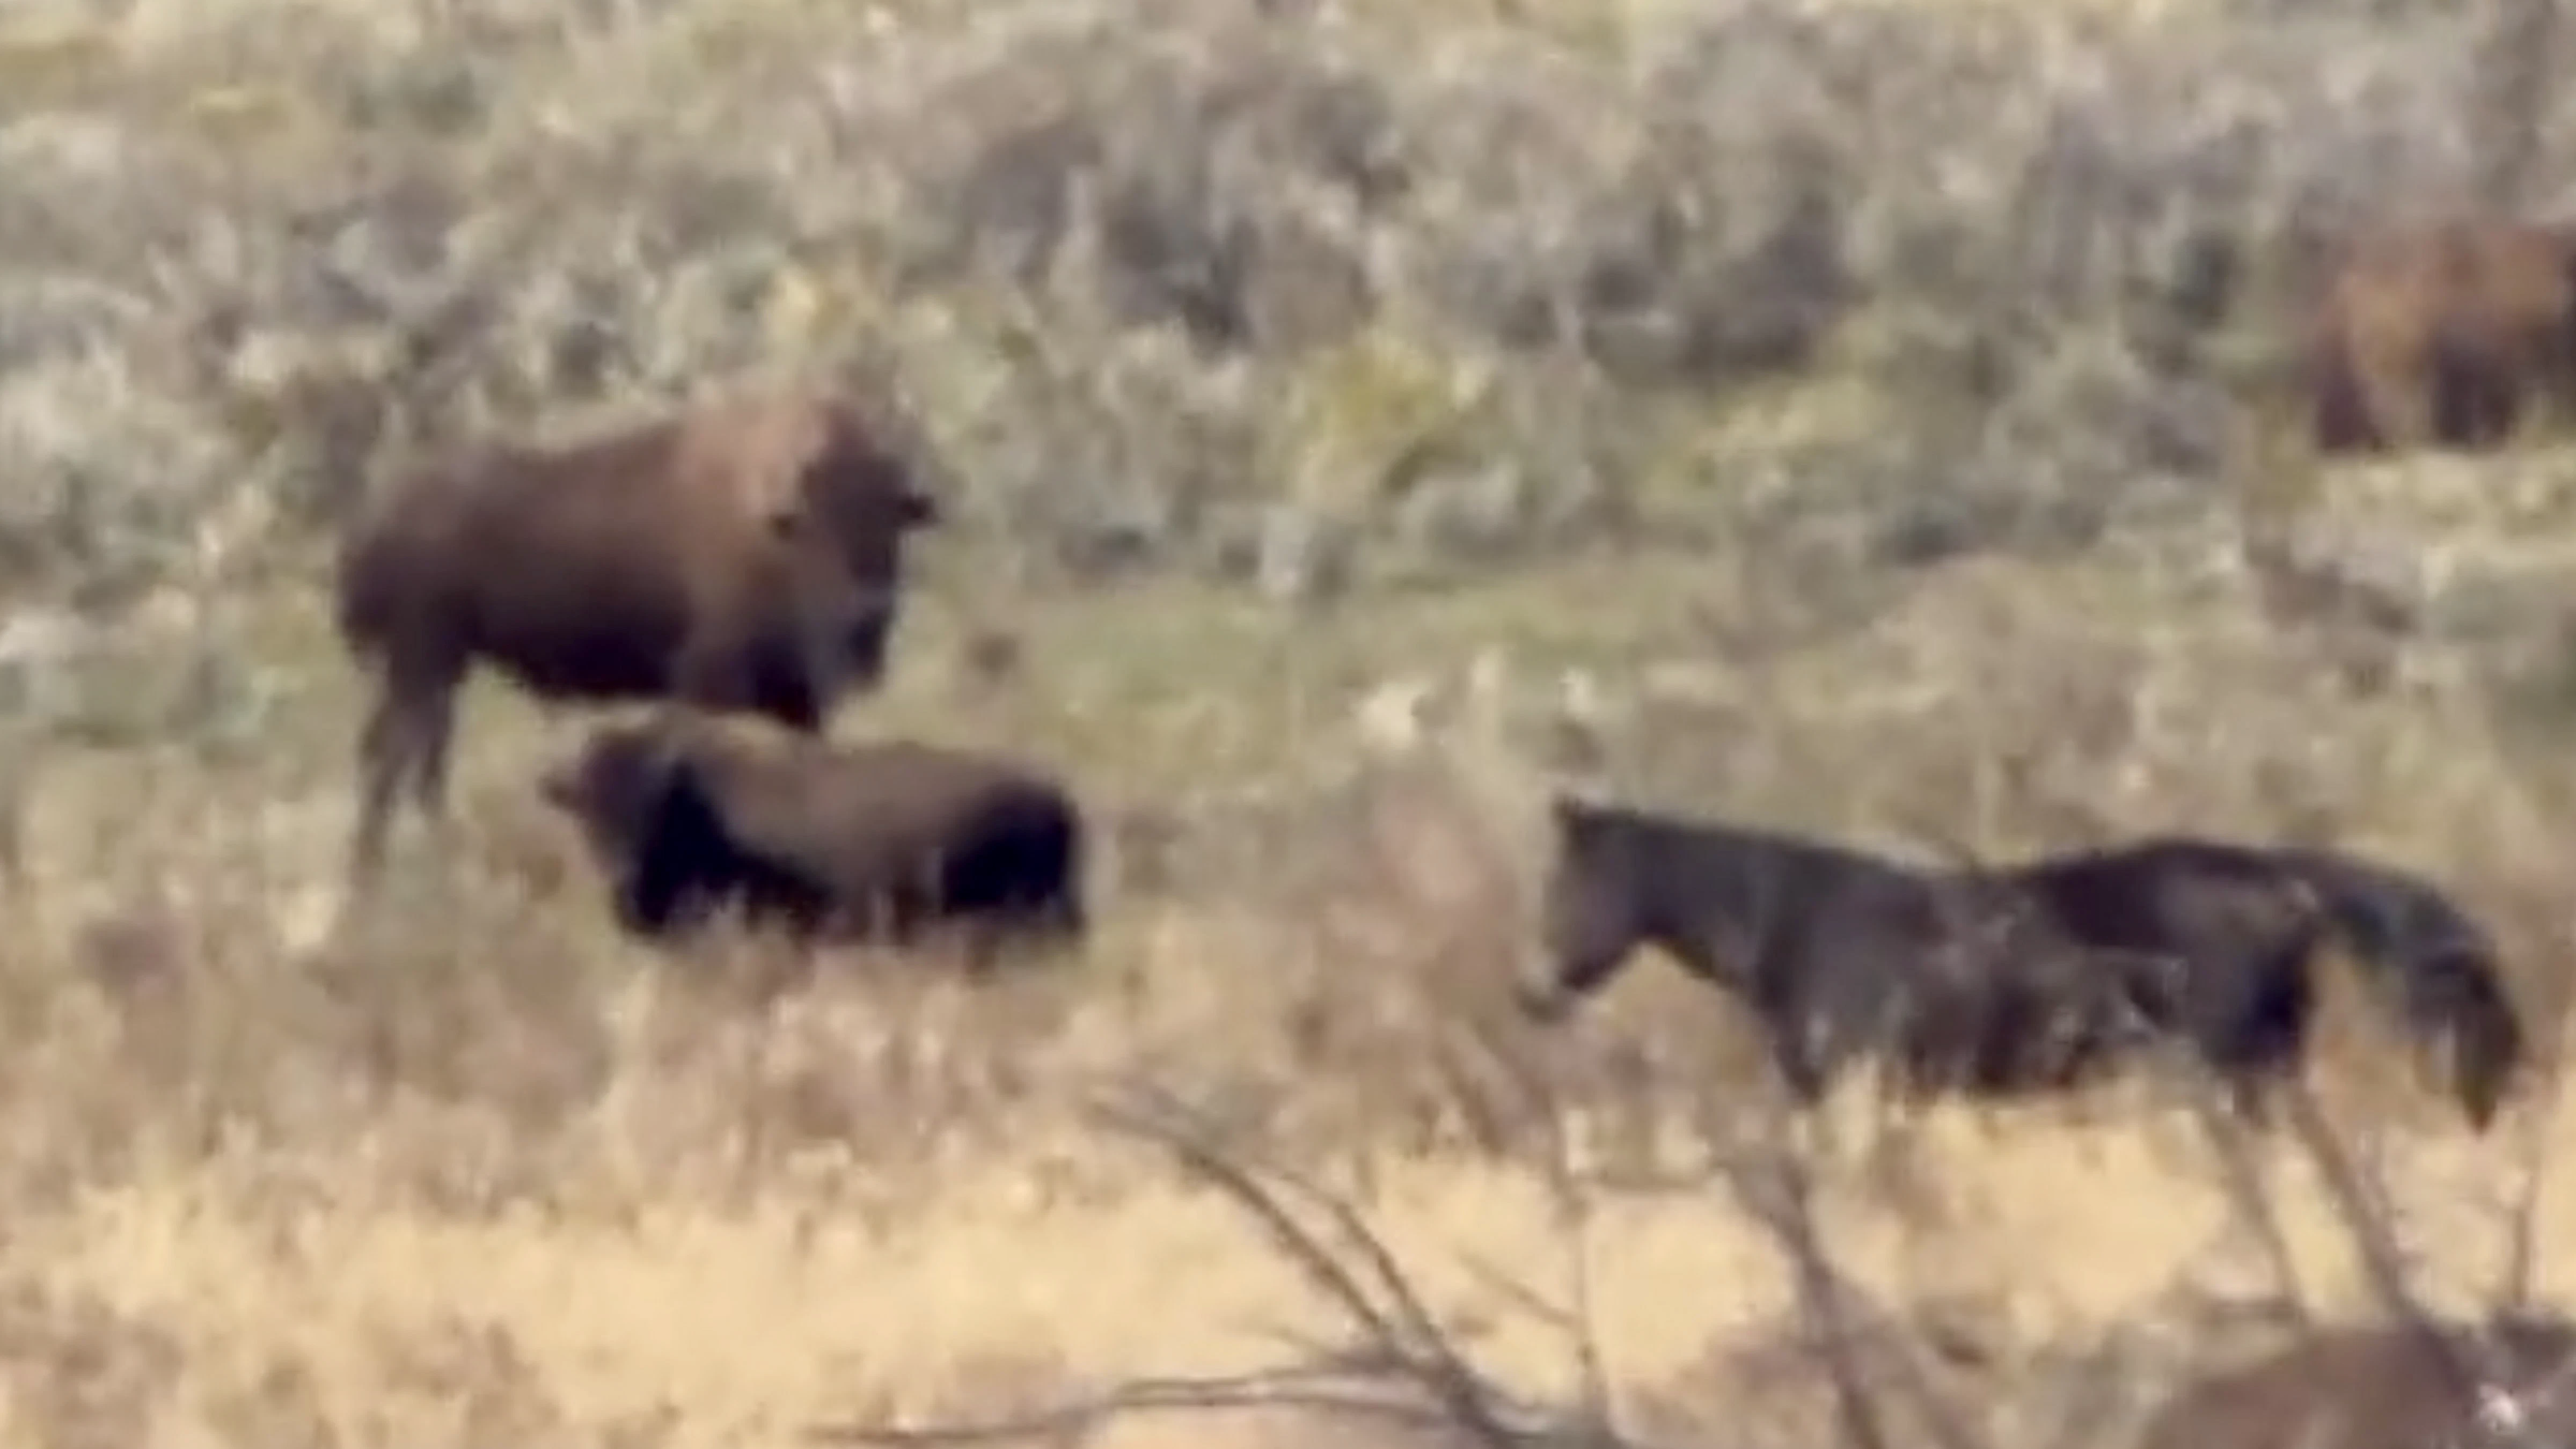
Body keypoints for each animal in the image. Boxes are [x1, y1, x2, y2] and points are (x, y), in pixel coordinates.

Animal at [335, 388, 940, 886]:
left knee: (408, 757)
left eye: (893, 519)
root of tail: (374, 516)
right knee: (399, 759)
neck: (768, 528)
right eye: (816, 528)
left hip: (431, 670)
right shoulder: (711, 679)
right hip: (425, 662)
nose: (868, 610)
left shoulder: (797, 699)